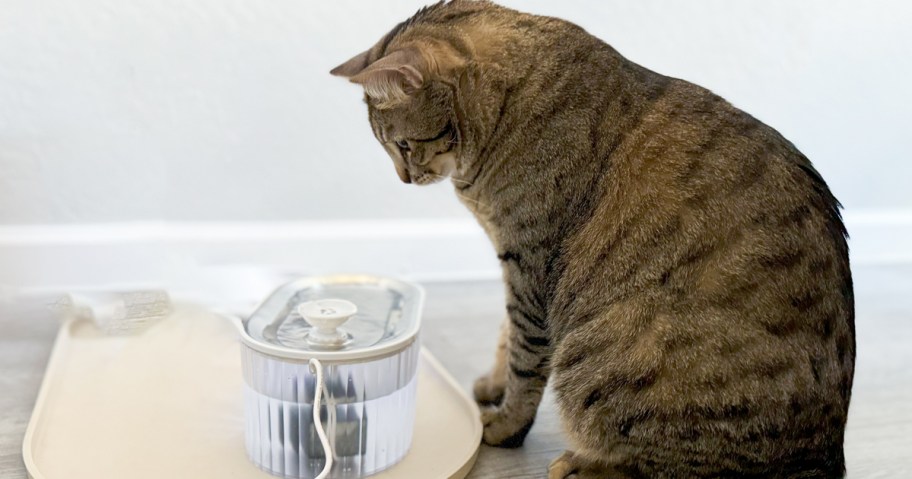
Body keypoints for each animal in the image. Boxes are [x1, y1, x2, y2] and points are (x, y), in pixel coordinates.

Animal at [330, 1, 856, 478]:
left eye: (401, 145)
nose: (403, 179)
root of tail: (825, 458)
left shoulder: (531, 263)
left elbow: (525, 357)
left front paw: (502, 424)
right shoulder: (516, 262)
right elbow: (505, 336)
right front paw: (493, 385)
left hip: (605, 347)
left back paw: (579, 465)